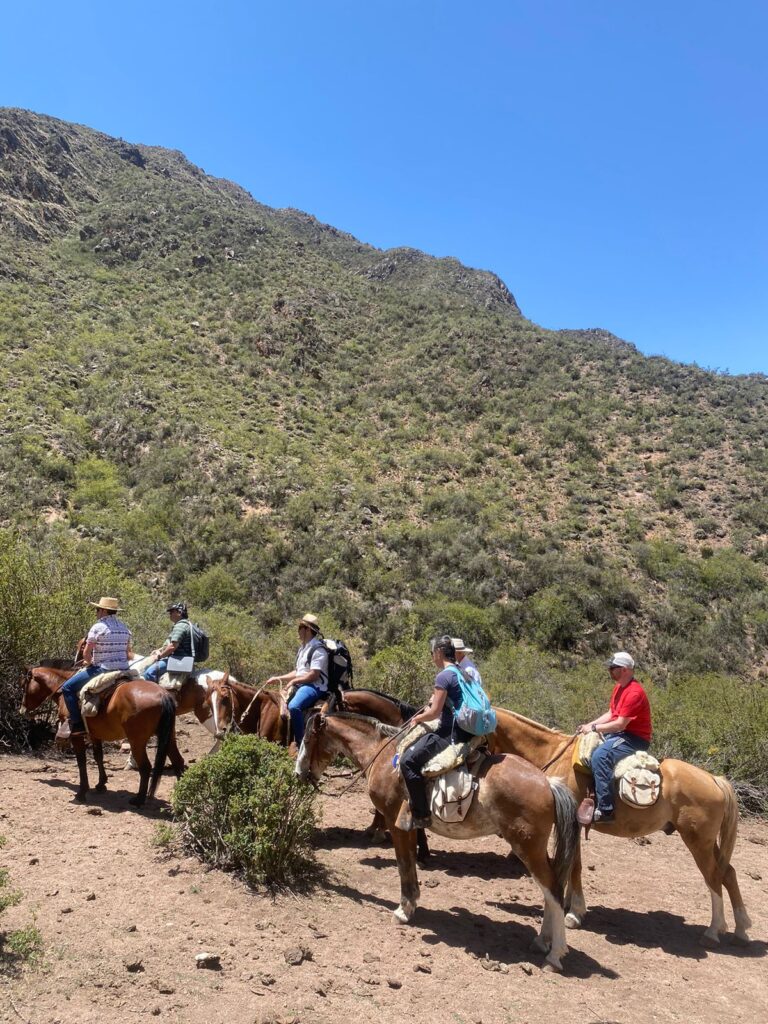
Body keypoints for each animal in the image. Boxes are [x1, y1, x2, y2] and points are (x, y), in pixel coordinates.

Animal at [20, 659, 185, 802]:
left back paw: (138, 800)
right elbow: (98, 756)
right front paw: (101, 784)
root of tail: (163, 695)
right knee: (178, 762)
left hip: (137, 741)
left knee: (145, 767)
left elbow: (81, 761)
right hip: (168, 736)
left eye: (24, 685)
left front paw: (82, 792)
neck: (62, 688)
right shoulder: (95, 734)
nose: (23, 710)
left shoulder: (76, 736)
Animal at [296, 708, 581, 970]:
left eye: (308, 739)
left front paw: (403, 910)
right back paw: (542, 941)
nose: (299, 773)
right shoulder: (409, 827)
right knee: (550, 889)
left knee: (553, 890)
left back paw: (555, 955)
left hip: (527, 847)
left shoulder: (396, 825)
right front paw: (412, 903)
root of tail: (548, 783)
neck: (382, 755)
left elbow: (403, 864)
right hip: (535, 849)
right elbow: (410, 864)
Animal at [489, 708, 753, 946]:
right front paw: (570, 905)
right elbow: (573, 863)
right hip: (708, 842)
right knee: (729, 873)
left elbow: (576, 866)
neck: (554, 755)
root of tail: (715, 780)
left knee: (713, 876)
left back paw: (713, 931)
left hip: (698, 842)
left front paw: (575, 913)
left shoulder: (573, 821)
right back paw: (741, 929)